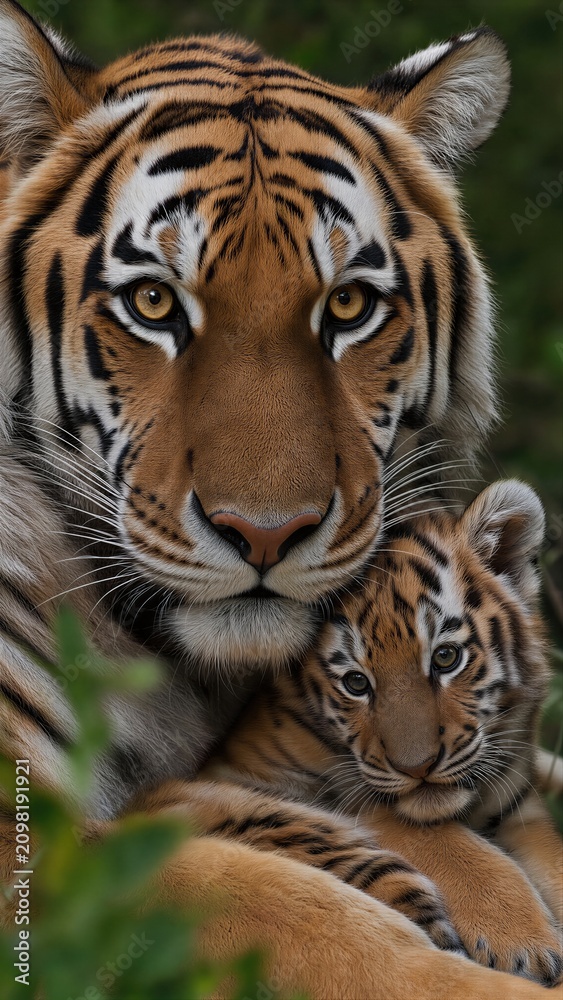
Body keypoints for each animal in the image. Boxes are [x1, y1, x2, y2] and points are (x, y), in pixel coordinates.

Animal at [133, 479, 563, 987]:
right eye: (356, 683)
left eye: (446, 658)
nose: (418, 767)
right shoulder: (244, 781)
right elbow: (422, 831)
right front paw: (522, 936)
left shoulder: (520, 806)